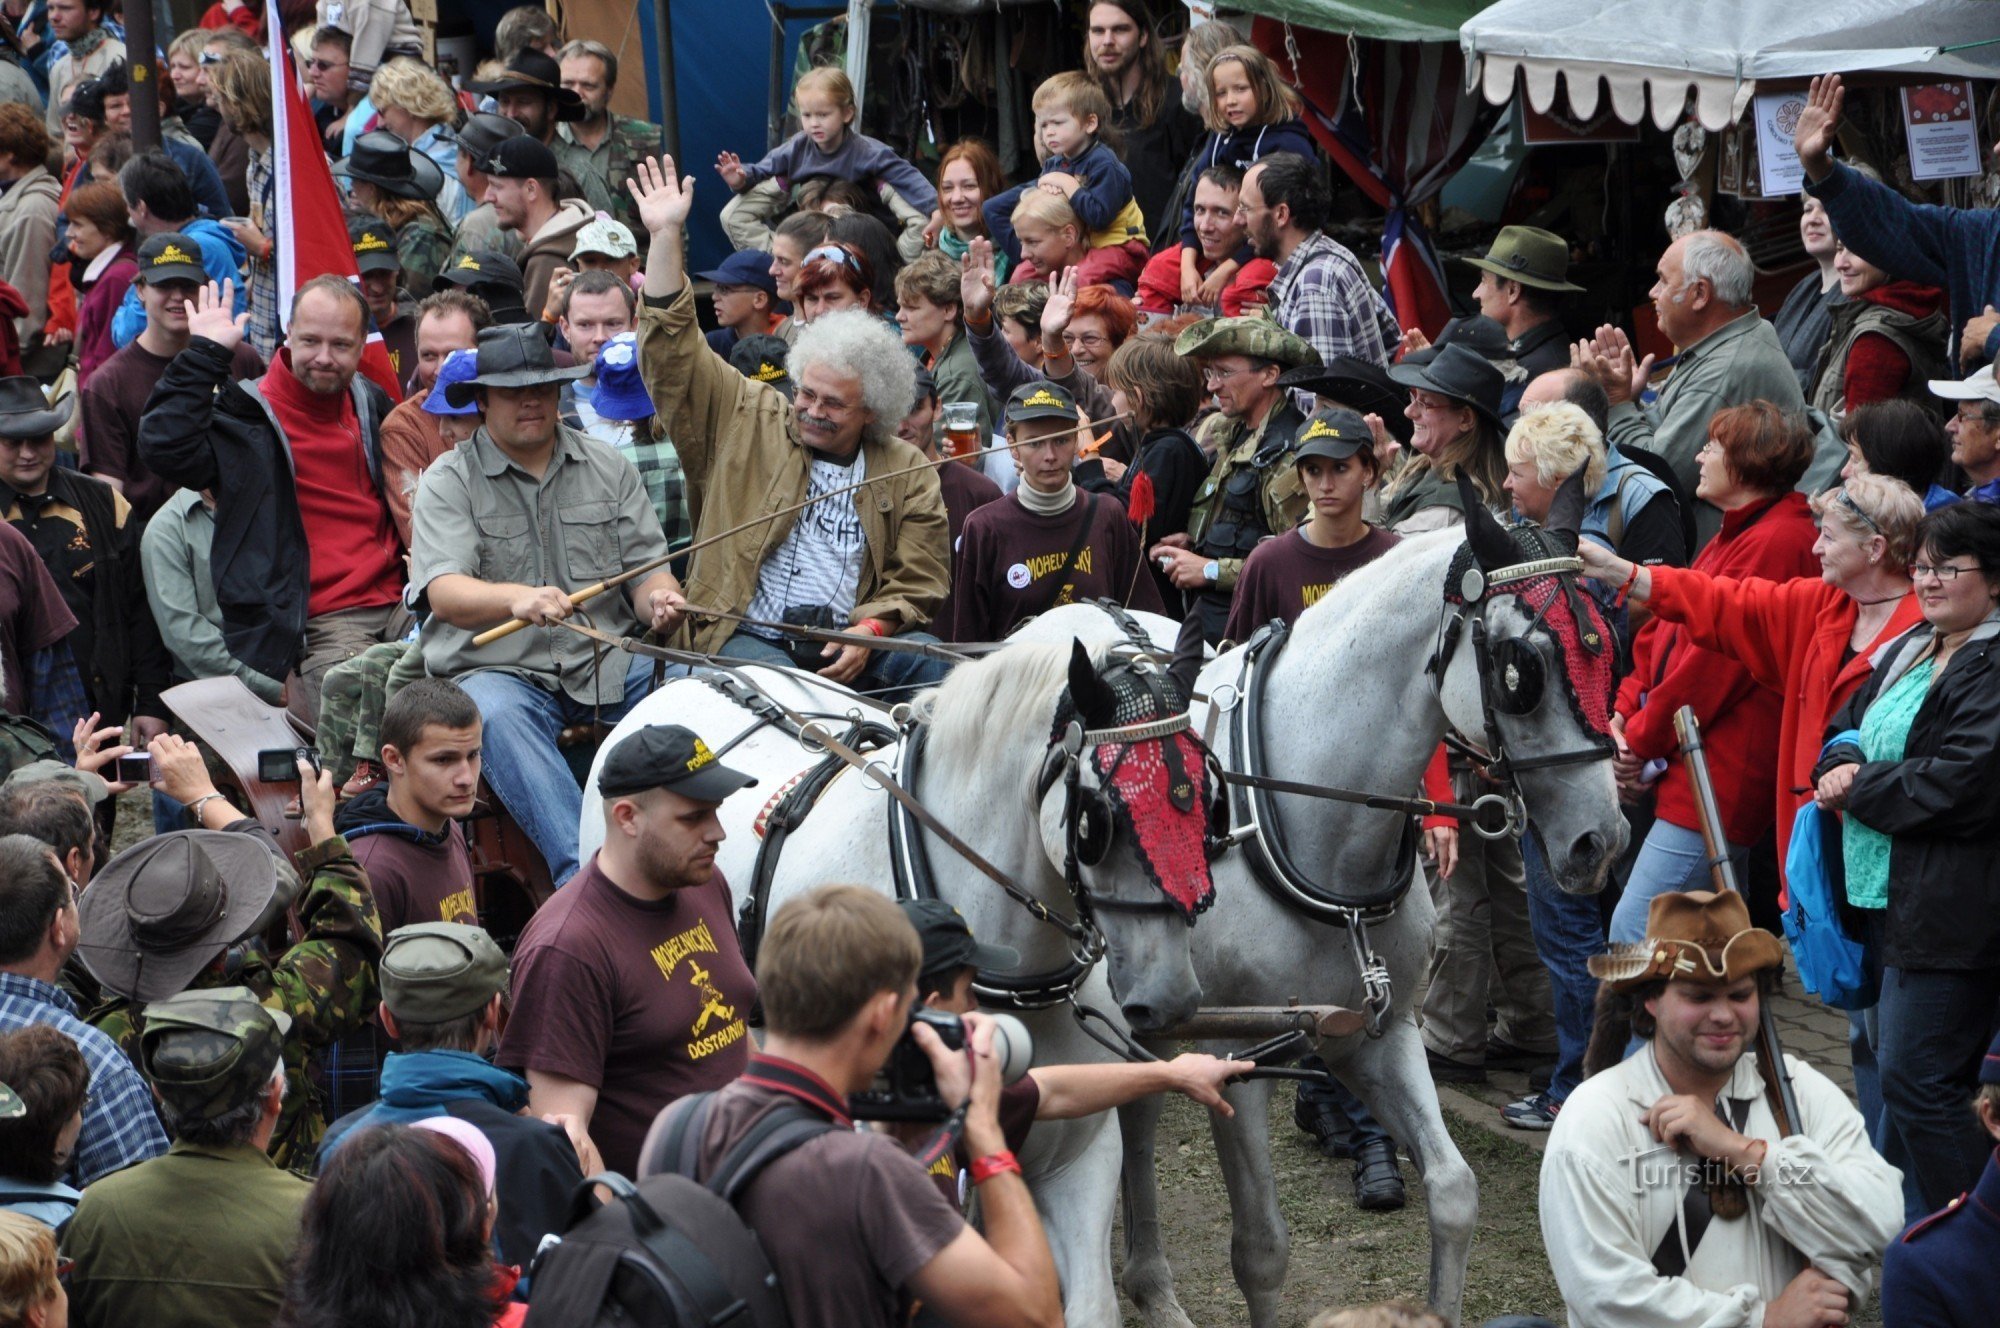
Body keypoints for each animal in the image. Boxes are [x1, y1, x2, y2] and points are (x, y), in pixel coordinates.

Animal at [572, 636, 1208, 1328]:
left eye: (1212, 797)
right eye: (1099, 817)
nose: (1173, 998)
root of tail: (685, 680)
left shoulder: (1079, 1152)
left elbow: (1089, 1305)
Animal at [1024, 516, 1632, 1328]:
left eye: (1614, 650)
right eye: (1520, 670)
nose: (1604, 842)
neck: (1306, 814)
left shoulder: (1382, 1030)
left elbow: (1453, 1191)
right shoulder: (1233, 1053)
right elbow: (1261, 1248)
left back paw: (1151, 1286)